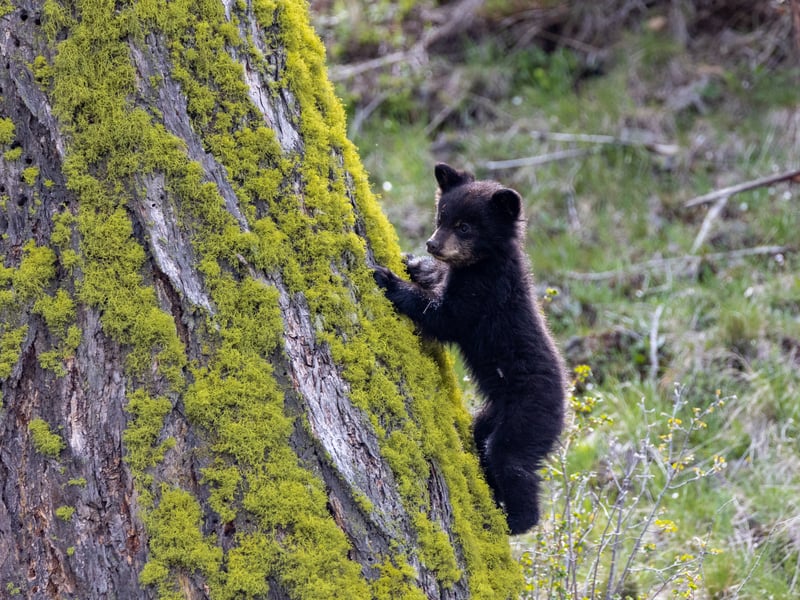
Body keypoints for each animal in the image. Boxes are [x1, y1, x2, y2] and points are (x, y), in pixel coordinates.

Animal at [373, 163, 567, 534]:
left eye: (464, 226)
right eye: (441, 216)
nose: (432, 244)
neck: (485, 261)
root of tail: (564, 404)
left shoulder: (484, 293)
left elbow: (445, 317)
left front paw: (390, 280)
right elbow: (438, 282)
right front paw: (413, 262)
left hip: (528, 415)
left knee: (511, 461)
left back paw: (514, 521)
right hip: (493, 412)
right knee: (482, 437)